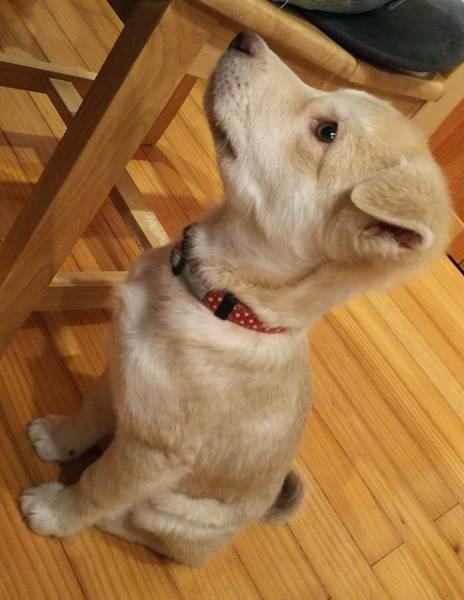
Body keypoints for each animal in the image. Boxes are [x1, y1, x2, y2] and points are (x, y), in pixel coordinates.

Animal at [20, 31, 451, 566]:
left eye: (327, 132)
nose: (246, 38)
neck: (220, 301)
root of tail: (257, 515)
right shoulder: (121, 374)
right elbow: (89, 416)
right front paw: (58, 440)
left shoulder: (150, 452)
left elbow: (98, 488)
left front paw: (57, 512)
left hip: (172, 509)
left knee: (153, 535)